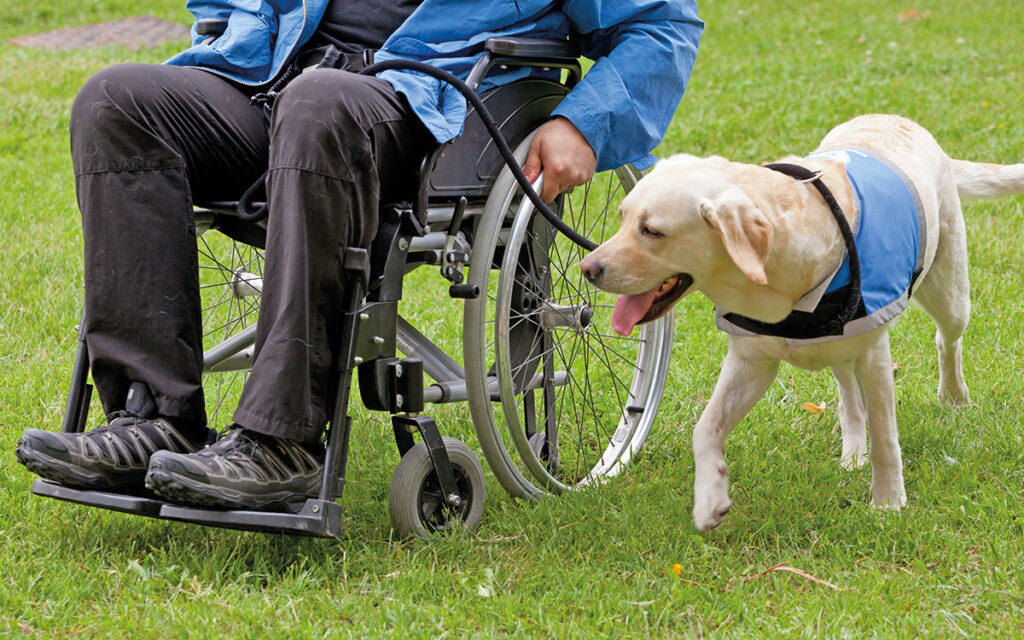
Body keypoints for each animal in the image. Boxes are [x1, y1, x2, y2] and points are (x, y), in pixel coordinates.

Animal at [581, 113, 1024, 528]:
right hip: (837, 345)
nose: (587, 268)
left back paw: (953, 396)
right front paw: (709, 498)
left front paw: (888, 503)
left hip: (949, 294)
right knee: (849, 397)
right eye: (621, 217)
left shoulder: (875, 355)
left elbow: (886, 438)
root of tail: (901, 120)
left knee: (947, 340)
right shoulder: (750, 362)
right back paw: (853, 452)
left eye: (651, 231)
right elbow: (705, 428)